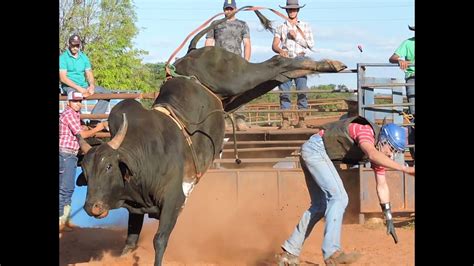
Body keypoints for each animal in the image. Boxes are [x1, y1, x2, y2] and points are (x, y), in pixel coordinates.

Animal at [77, 46, 344, 264]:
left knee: (276, 63)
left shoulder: (174, 200)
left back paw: (330, 64)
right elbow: (130, 242)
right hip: (235, 96)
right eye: (86, 172)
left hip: (237, 78)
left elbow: (159, 240)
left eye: (109, 166)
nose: (91, 207)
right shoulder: (135, 209)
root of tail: (192, 54)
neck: (144, 157)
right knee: (279, 74)